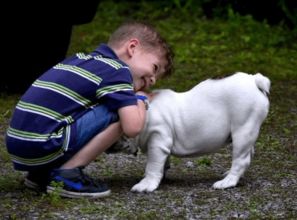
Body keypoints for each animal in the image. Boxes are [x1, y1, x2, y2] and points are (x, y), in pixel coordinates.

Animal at [115, 72, 270, 192]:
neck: (143, 112)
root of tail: (254, 80)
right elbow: (163, 163)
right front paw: (161, 175)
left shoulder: (157, 142)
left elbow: (152, 165)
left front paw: (146, 184)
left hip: (243, 130)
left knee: (241, 159)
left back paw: (227, 182)